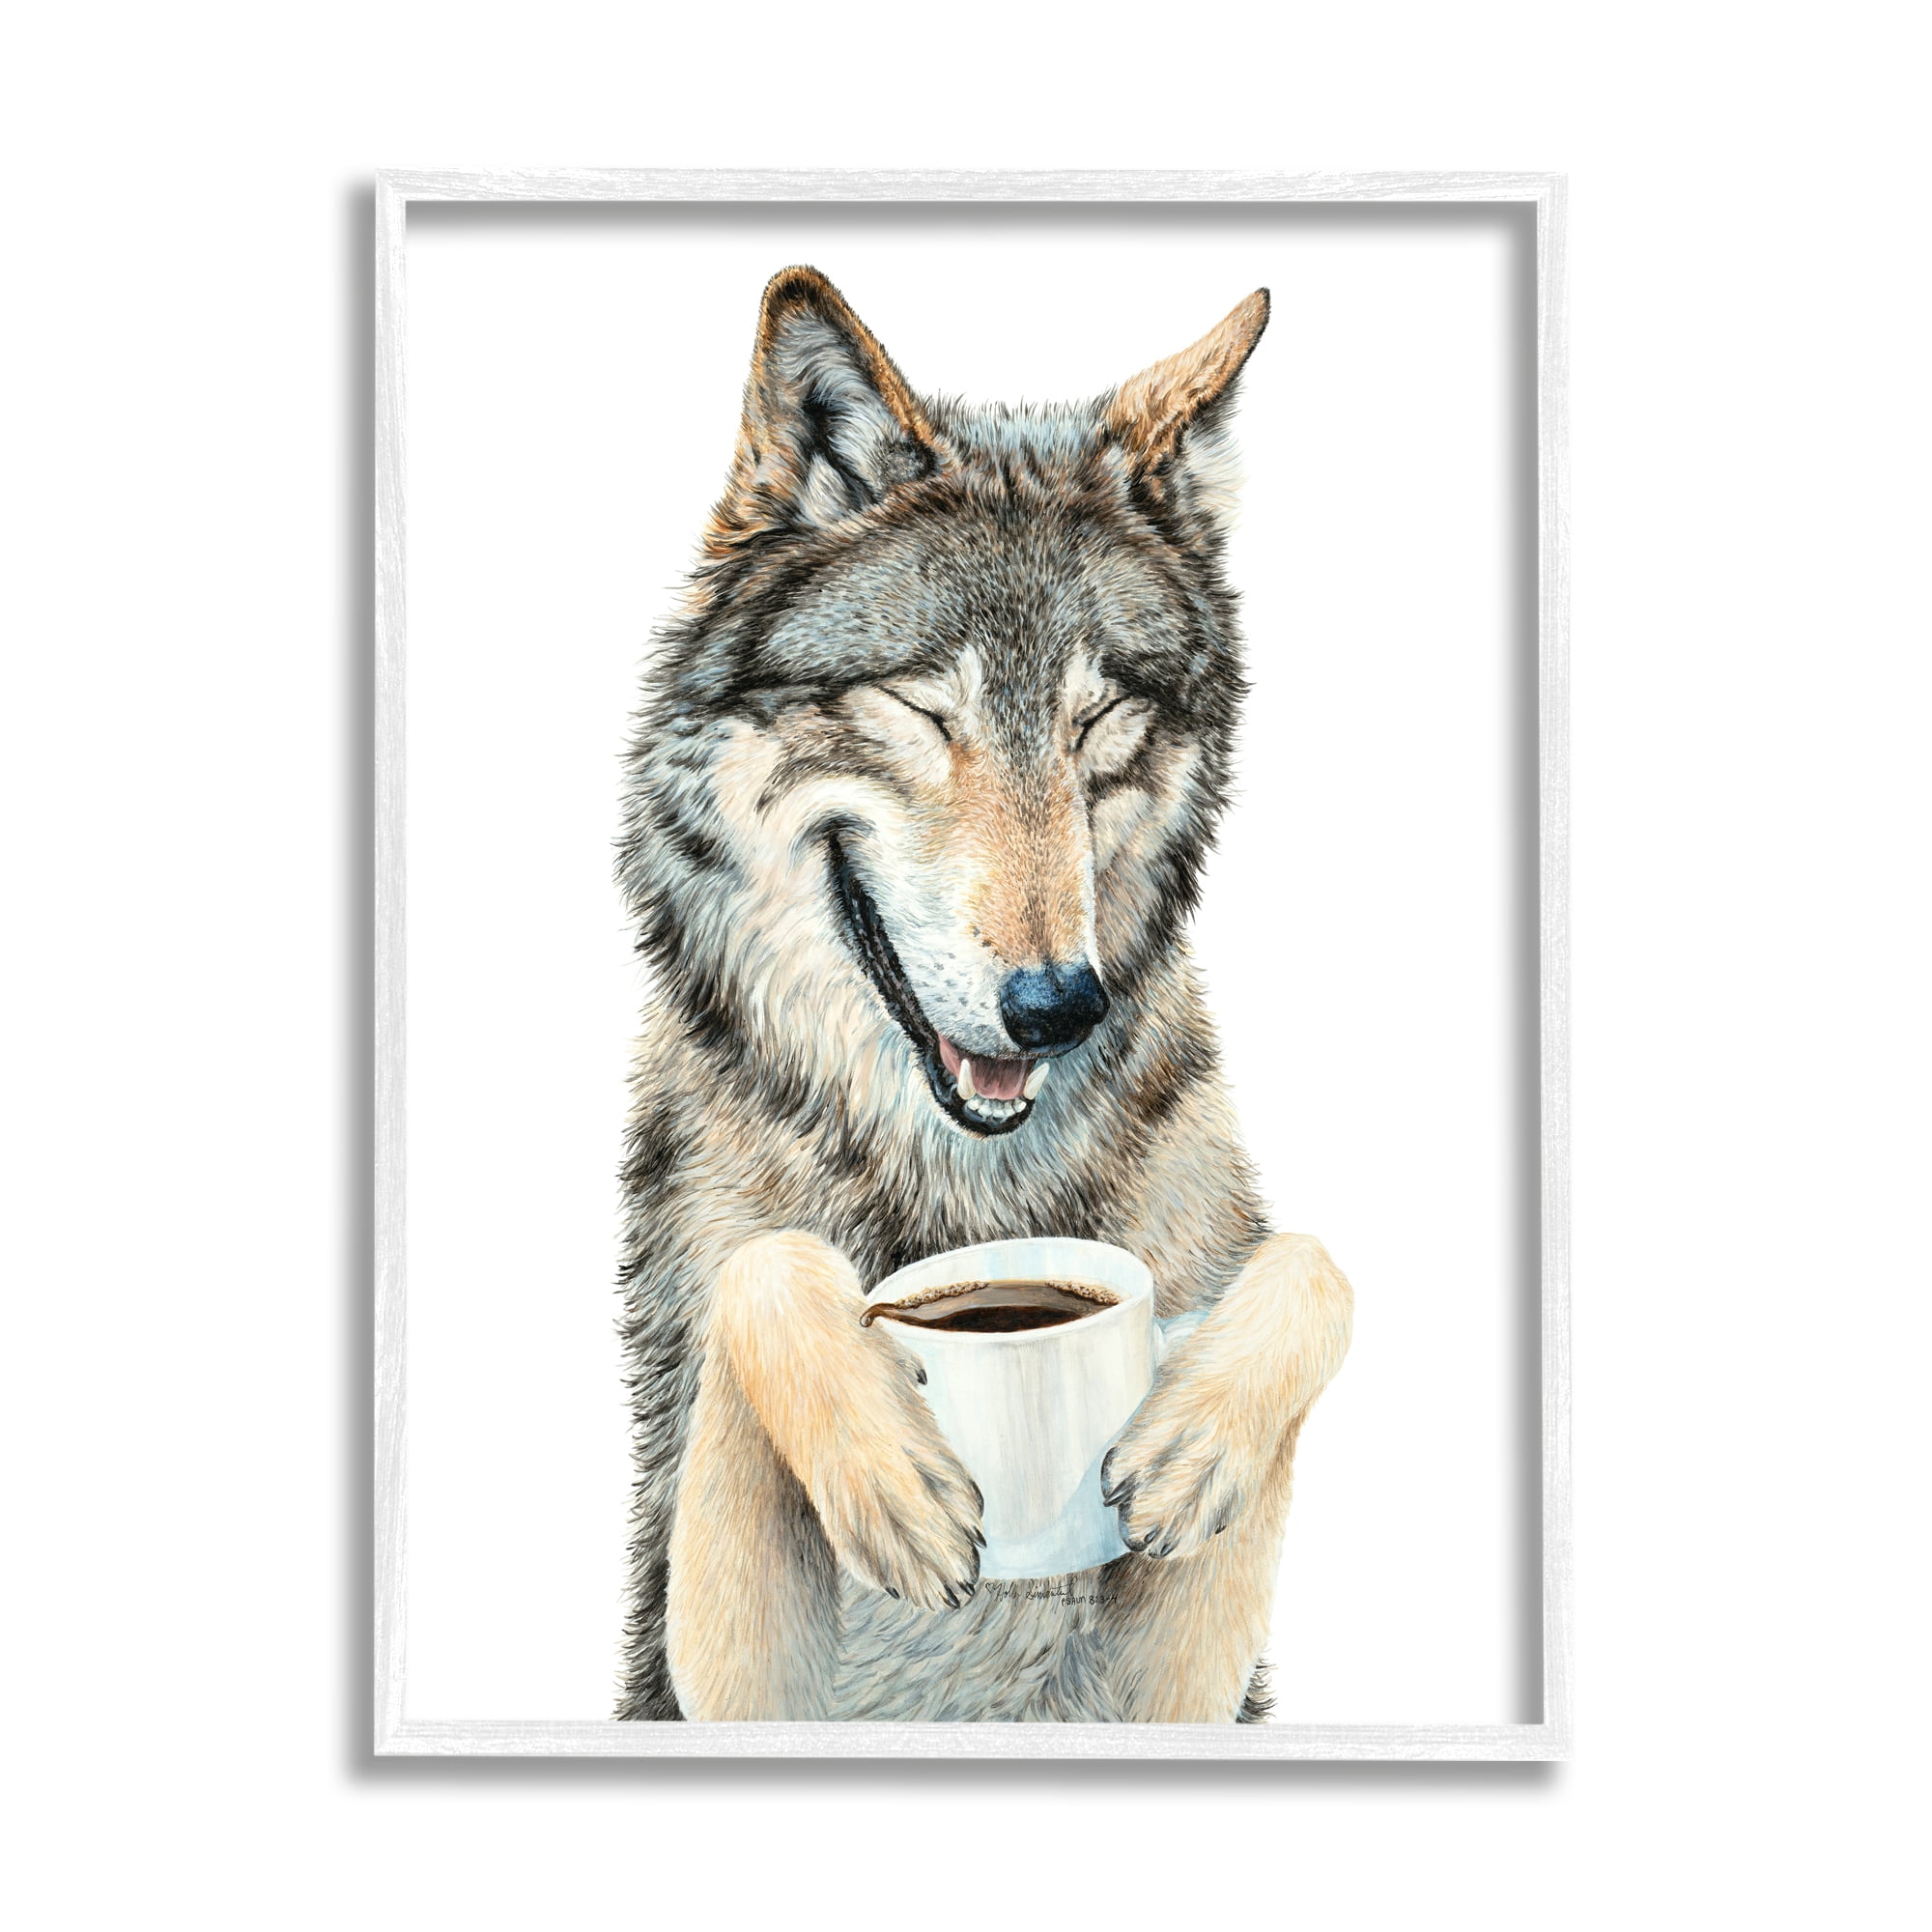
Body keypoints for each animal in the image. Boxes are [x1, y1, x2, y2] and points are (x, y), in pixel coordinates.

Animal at [615, 266, 1353, 1724]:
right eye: (922, 710)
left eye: (1095, 720)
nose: (1058, 1005)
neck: (965, 1193)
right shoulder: (710, 1671)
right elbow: (765, 1265)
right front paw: (888, 1471)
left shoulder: (1177, 1683)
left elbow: (1311, 1259)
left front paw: (1194, 1442)